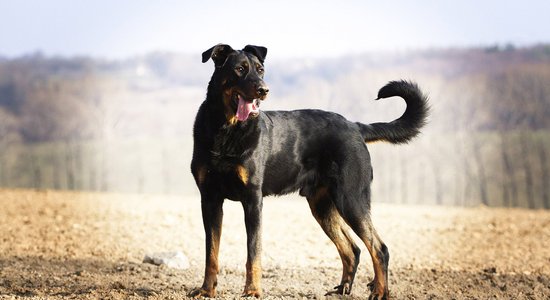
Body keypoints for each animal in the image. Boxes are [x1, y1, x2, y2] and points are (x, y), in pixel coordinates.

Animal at [191, 43, 432, 298]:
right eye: (239, 69)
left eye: (260, 69)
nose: (263, 90)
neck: (226, 129)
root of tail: (356, 127)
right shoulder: (210, 199)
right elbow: (211, 253)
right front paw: (206, 290)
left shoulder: (253, 200)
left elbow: (253, 253)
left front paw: (253, 291)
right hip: (323, 205)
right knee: (352, 249)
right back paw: (343, 289)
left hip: (351, 199)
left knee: (379, 247)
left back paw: (379, 292)